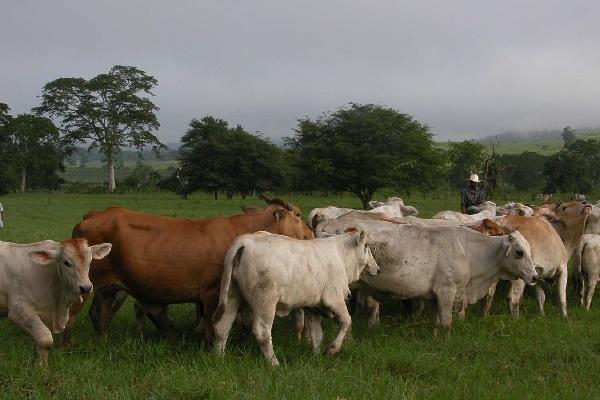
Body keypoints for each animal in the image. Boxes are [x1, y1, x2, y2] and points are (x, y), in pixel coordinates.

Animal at [0, 239, 111, 368]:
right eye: (66, 263)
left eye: (89, 261)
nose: (86, 288)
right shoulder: (18, 310)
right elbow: (45, 339)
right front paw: (42, 367)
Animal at [59, 196, 314, 344]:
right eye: (298, 214)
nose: (311, 233)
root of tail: (94, 214)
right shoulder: (212, 292)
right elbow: (213, 325)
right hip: (83, 286)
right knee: (70, 317)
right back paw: (66, 347)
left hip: (108, 288)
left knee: (99, 314)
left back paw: (103, 341)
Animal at [213, 230, 378, 368]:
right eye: (367, 245)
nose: (377, 268)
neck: (340, 255)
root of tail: (245, 242)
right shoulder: (334, 299)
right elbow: (346, 321)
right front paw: (332, 349)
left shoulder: (313, 307)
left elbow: (316, 334)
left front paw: (316, 357)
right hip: (265, 303)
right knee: (262, 332)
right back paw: (274, 363)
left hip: (231, 296)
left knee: (222, 326)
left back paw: (219, 358)